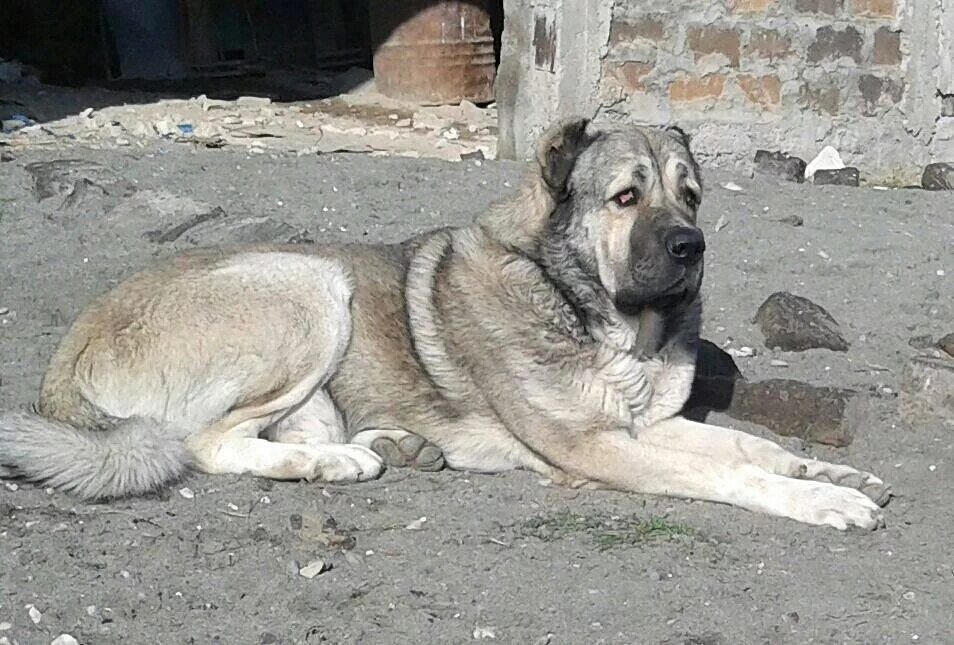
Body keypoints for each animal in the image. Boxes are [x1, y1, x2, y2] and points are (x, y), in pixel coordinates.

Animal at [1, 119, 892, 528]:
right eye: (626, 197)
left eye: (692, 195)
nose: (692, 246)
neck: (595, 316)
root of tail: (67, 356)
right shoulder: (597, 447)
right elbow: (732, 473)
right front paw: (818, 500)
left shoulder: (643, 426)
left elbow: (751, 446)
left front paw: (830, 472)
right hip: (310, 284)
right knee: (208, 444)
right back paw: (339, 465)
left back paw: (390, 445)